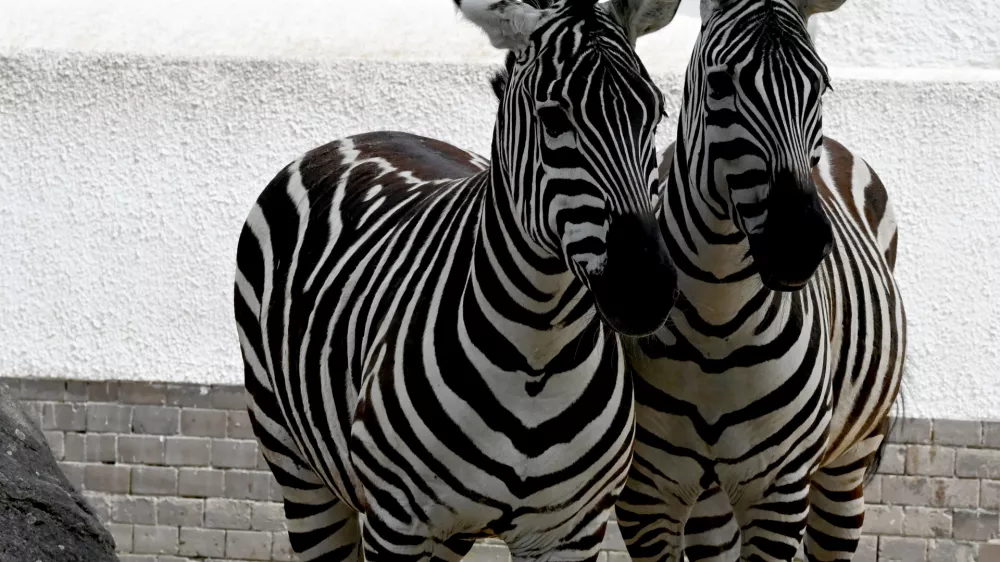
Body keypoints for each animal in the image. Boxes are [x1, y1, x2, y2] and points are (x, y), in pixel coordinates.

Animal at [233, 0, 682, 560]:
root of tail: (364, 134)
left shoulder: (573, 530)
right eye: (553, 117)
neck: (539, 356)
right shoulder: (396, 523)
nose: (645, 289)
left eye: (657, 113)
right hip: (296, 465)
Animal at [613, 1, 907, 561]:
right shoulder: (645, 493)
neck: (718, 316)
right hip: (711, 497)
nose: (800, 242)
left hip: (848, 459)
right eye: (719, 83)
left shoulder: (780, 491)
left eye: (822, 83)